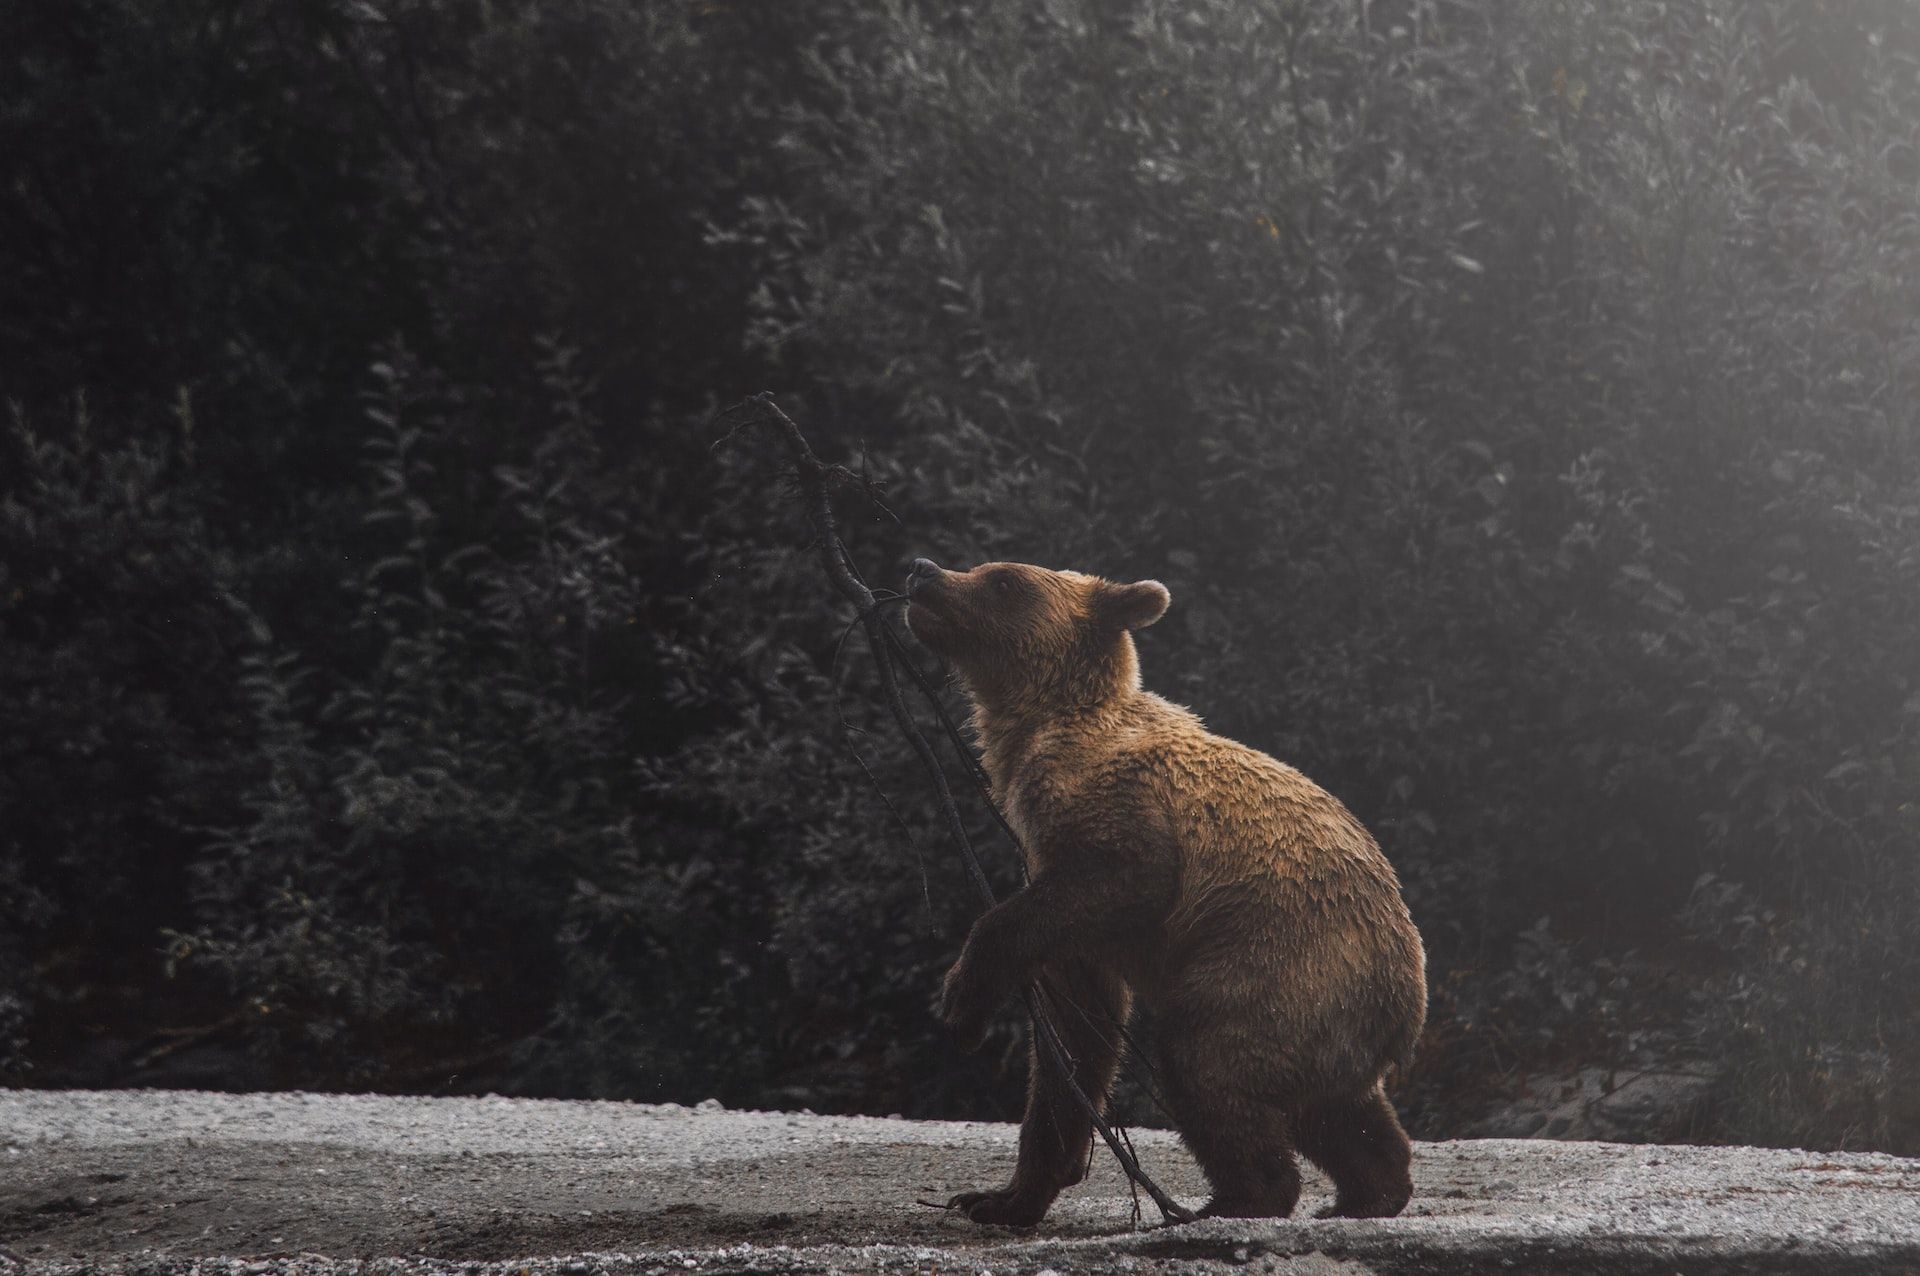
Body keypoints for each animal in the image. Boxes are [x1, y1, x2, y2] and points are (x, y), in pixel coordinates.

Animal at [902, 556, 1428, 1228]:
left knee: (1206, 1061)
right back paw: (1367, 1192)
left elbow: (1119, 884)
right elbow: (1074, 1038)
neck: (1033, 740)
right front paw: (1000, 1197)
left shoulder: (1119, 820)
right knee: (1338, 1110)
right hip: (1330, 1021)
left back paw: (1234, 1199)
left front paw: (960, 1007)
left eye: (1003, 580)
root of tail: (1407, 1011)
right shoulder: (1054, 888)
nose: (924, 571)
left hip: (1284, 965)